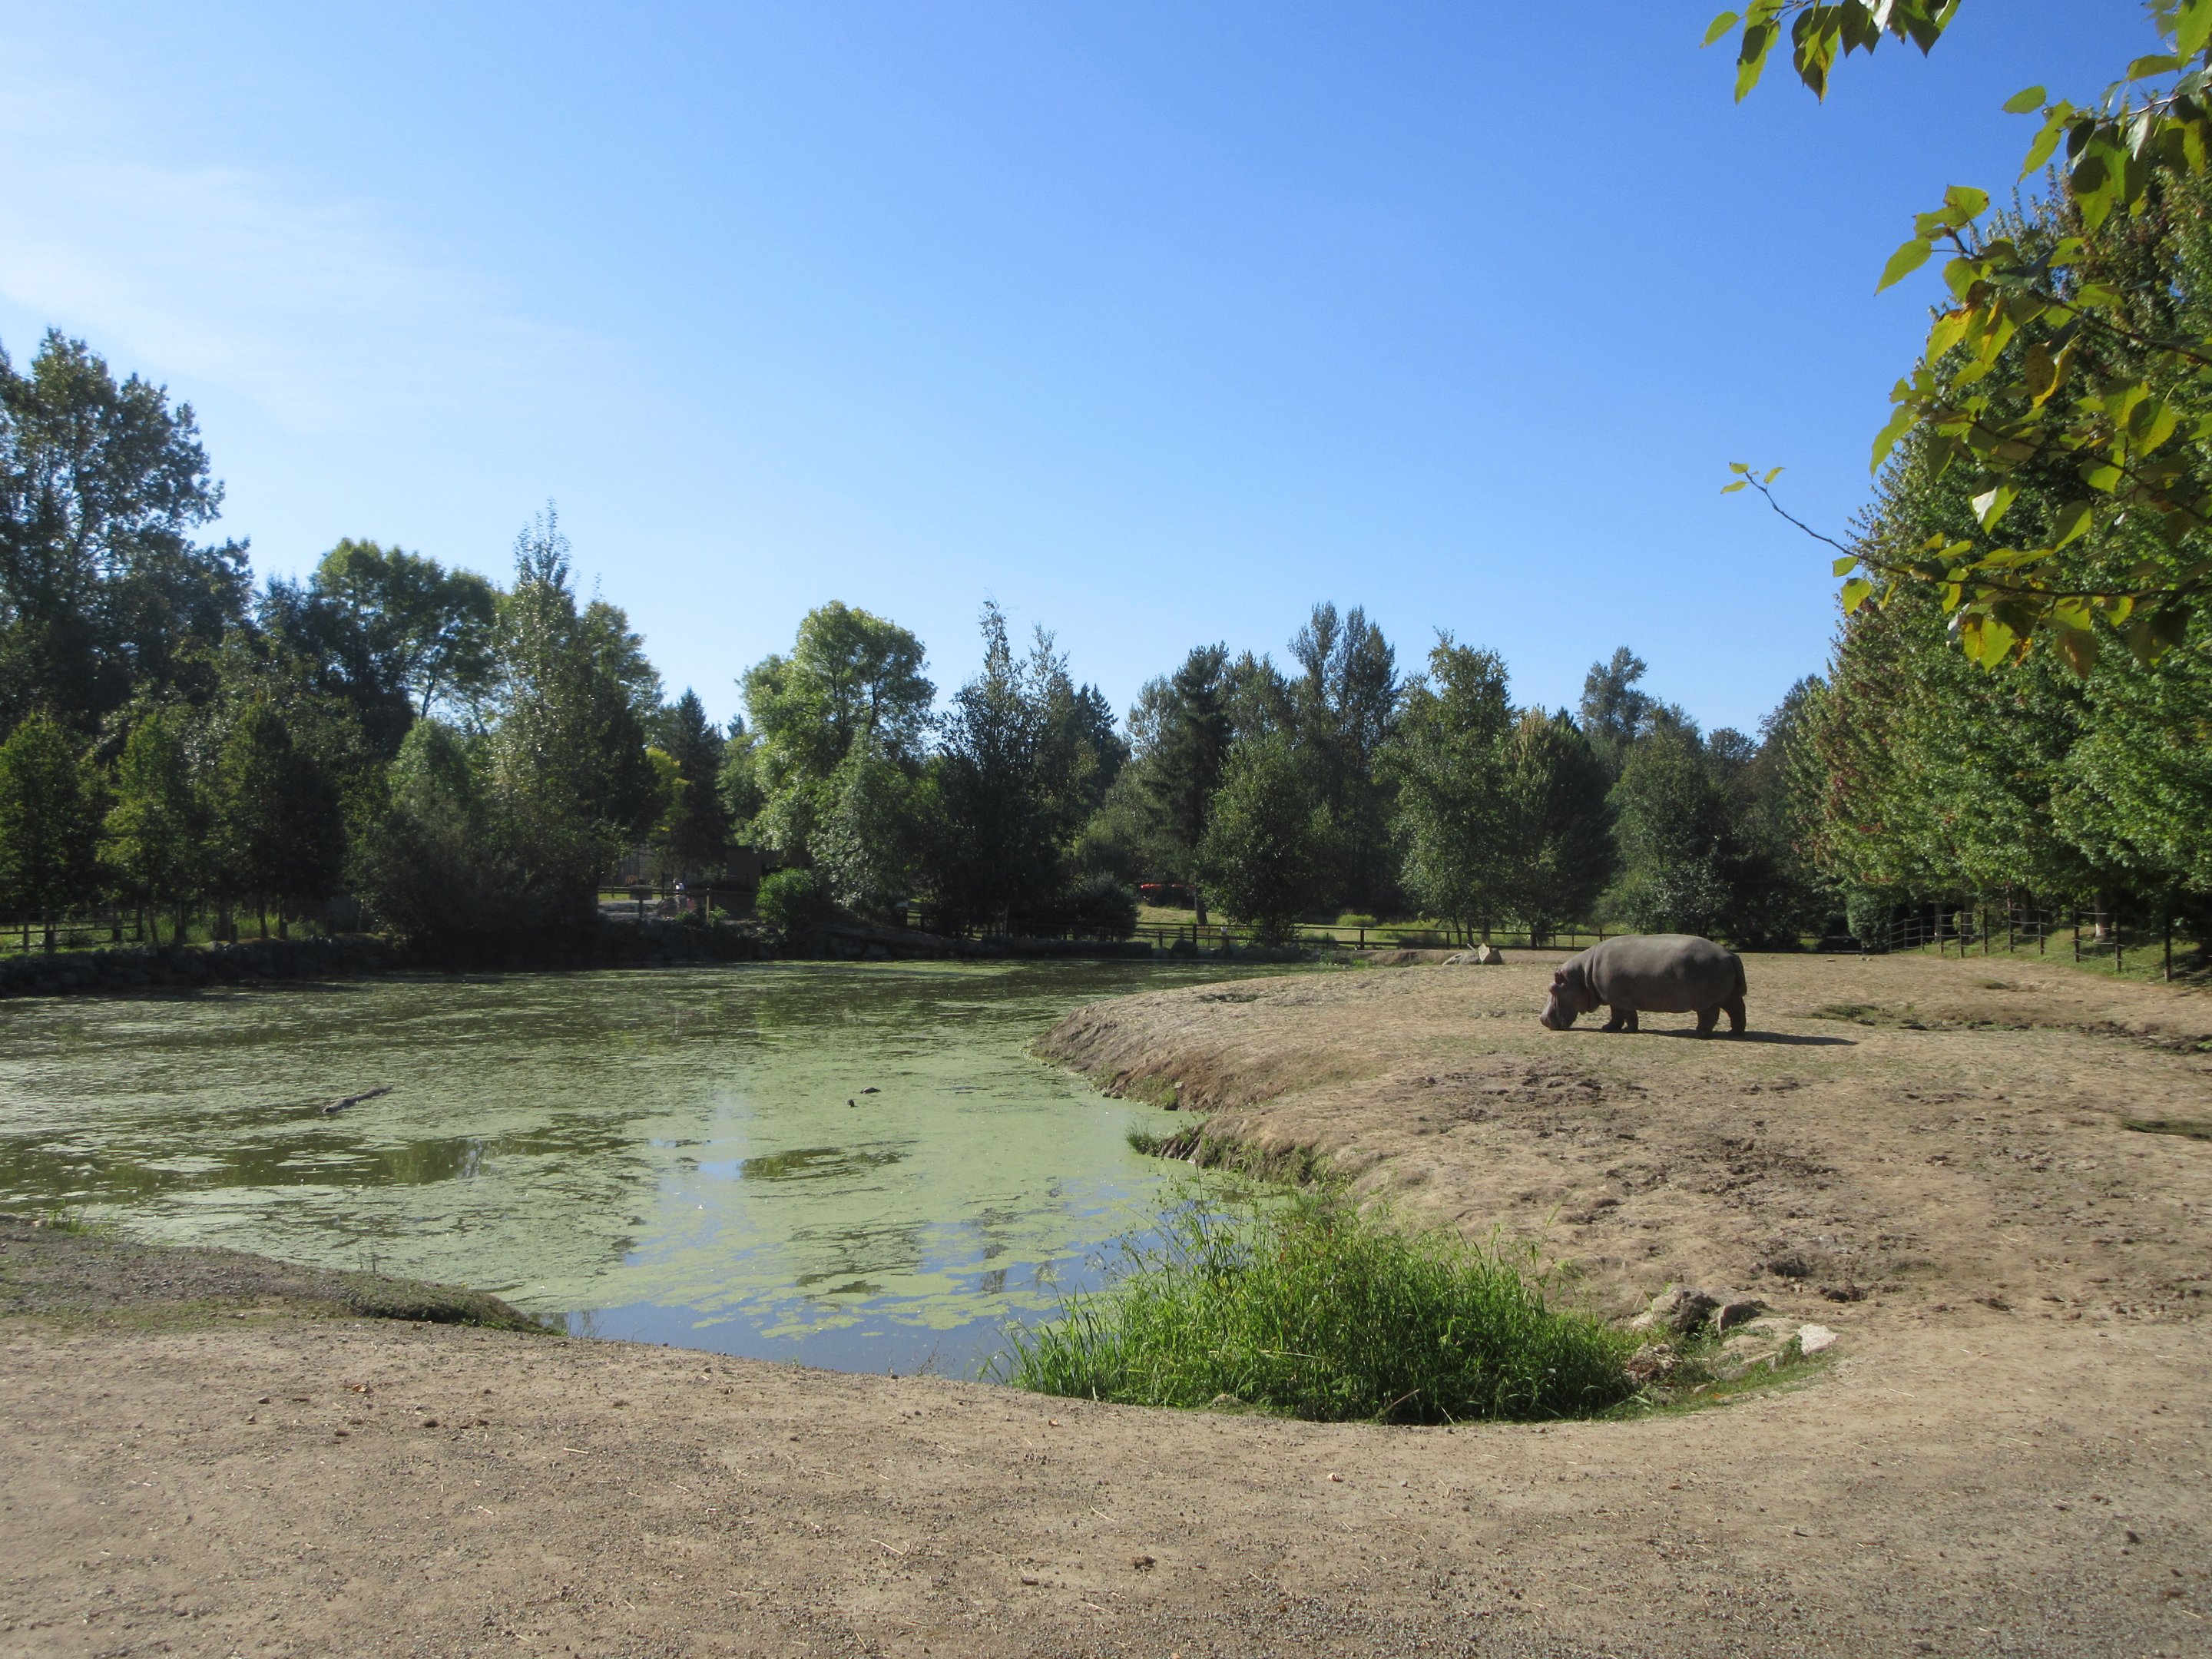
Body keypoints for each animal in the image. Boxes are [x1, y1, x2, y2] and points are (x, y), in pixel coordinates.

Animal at [1537, 933, 1747, 1036]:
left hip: (1705, 1001)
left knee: (1710, 1015)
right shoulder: (1613, 998)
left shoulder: (1622, 999)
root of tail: (1730, 955)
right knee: (1738, 1010)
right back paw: (1734, 1032)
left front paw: (1629, 1031)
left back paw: (1699, 1033)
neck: (1582, 976)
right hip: (1730, 996)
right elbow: (1616, 1015)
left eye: (1552, 989)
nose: (1542, 1019)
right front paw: (1608, 1028)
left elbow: (1628, 1015)